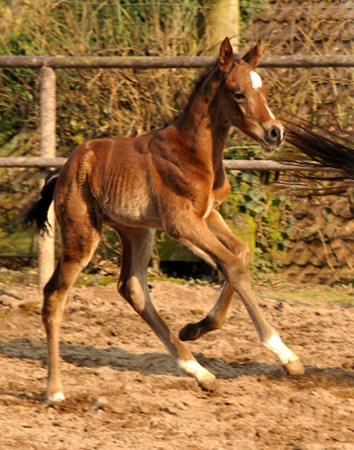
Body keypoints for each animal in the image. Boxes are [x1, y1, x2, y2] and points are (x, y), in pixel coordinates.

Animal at [24, 38, 304, 402]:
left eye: (264, 91)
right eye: (238, 92)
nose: (275, 132)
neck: (195, 152)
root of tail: (63, 171)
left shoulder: (207, 213)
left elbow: (240, 254)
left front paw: (195, 328)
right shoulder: (181, 221)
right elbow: (232, 264)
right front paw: (285, 354)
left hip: (138, 231)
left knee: (132, 287)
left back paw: (199, 371)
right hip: (82, 235)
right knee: (54, 295)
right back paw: (54, 390)